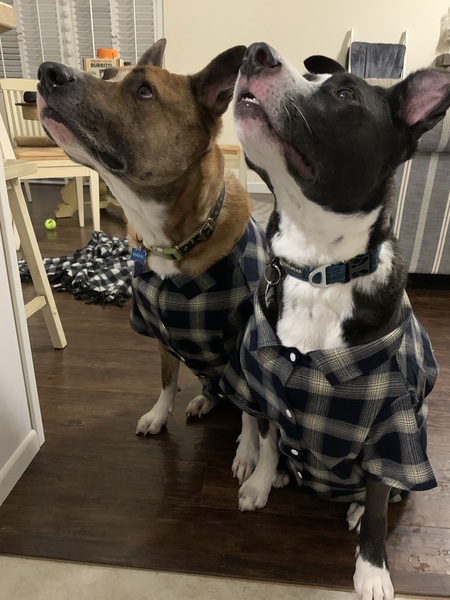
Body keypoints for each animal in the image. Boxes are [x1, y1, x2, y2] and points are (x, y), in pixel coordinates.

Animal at [220, 43, 444, 600]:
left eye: (346, 95)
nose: (256, 53)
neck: (317, 267)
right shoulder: (269, 384)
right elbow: (271, 438)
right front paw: (262, 482)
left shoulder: (392, 424)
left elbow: (382, 502)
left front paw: (372, 571)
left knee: (385, 493)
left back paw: (360, 506)